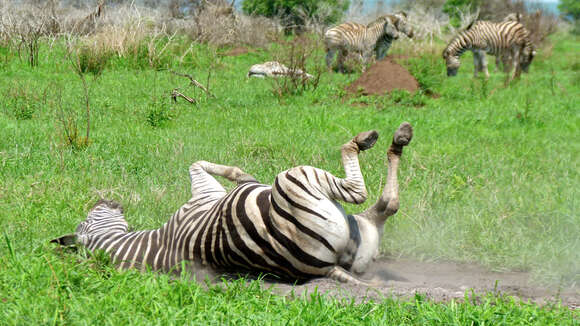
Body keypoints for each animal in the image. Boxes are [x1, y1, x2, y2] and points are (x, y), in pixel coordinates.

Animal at [51, 123, 412, 284]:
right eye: (87, 220)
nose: (105, 197)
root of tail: (327, 268)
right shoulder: (202, 194)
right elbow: (199, 164)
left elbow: (232, 172)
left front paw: (246, 178)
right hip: (294, 179)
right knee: (370, 195)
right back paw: (380, 139)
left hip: (362, 234)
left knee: (382, 207)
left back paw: (395, 142)